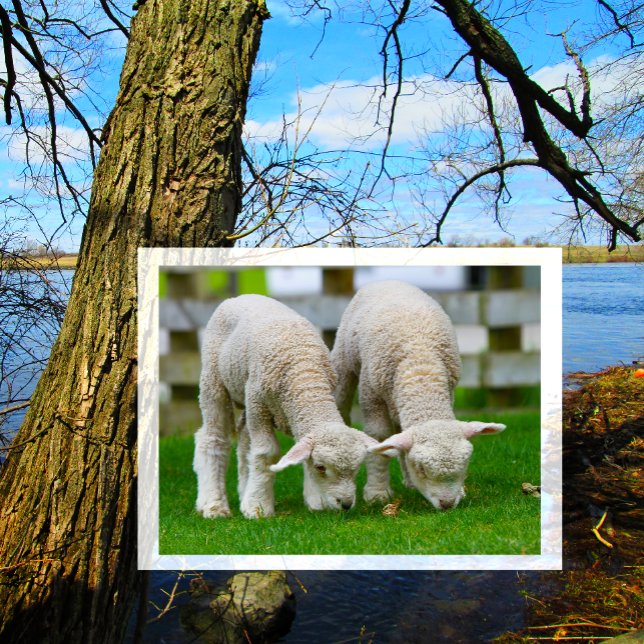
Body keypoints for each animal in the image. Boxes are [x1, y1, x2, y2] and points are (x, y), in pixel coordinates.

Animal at [194, 293, 378, 519]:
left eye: (357, 468)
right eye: (321, 467)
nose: (346, 504)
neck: (305, 375)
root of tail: (238, 297)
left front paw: (314, 501)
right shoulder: (259, 405)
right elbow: (266, 453)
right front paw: (258, 507)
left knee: (245, 442)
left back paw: (244, 491)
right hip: (213, 380)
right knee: (212, 438)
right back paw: (214, 505)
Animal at [331, 280, 506, 511]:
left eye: (465, 465)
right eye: (422, 469)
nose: (447, 504)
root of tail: (388, 280)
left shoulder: (448, 390)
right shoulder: (372, 395)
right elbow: (380, 437)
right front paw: (377, 492)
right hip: (345, 360)